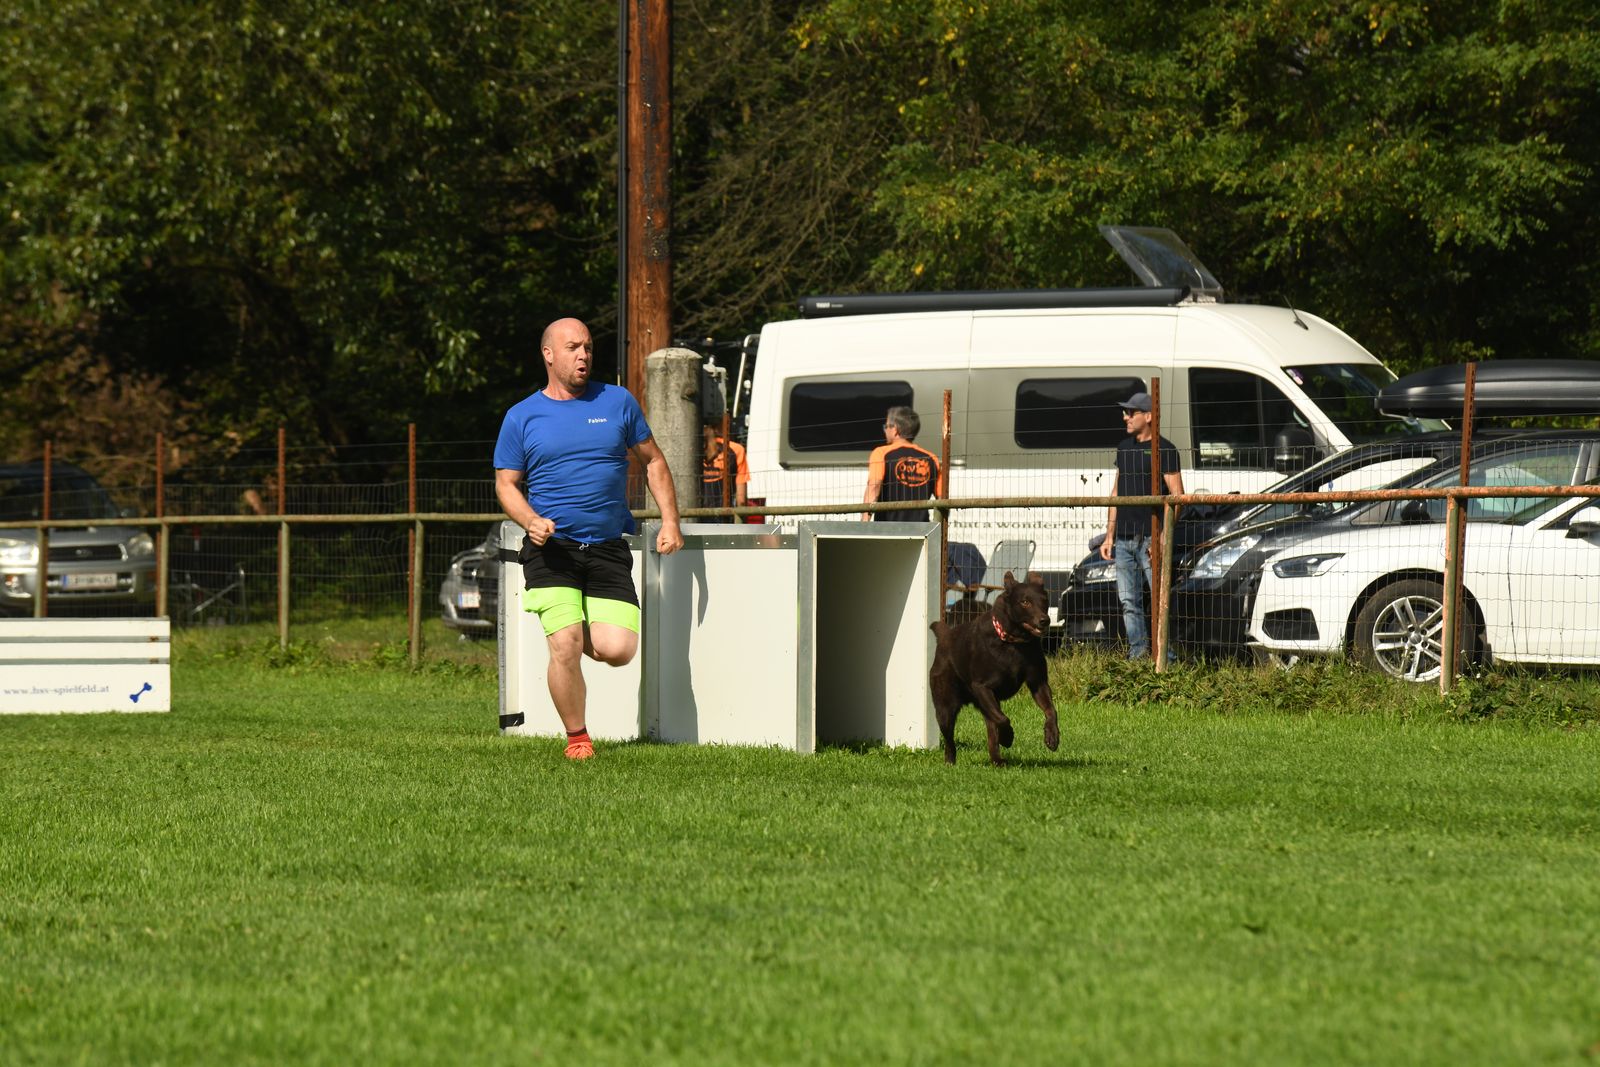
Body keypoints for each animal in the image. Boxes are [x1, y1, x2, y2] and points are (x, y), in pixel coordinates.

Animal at [929, 570, 1060, 766]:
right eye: (1025, 602)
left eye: (1044, 600)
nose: (1045, 620)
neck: (1014, 643)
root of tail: (945, 636)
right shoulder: (982, 687)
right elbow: (1003, 719)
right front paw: (1008, 737)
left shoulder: (1038, 682)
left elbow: (1051, 710)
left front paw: (1052, 736)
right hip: (946, 706)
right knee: (950, 738)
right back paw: (950, 762)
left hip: (984, 705)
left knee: (991, 732)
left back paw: (998, 761)